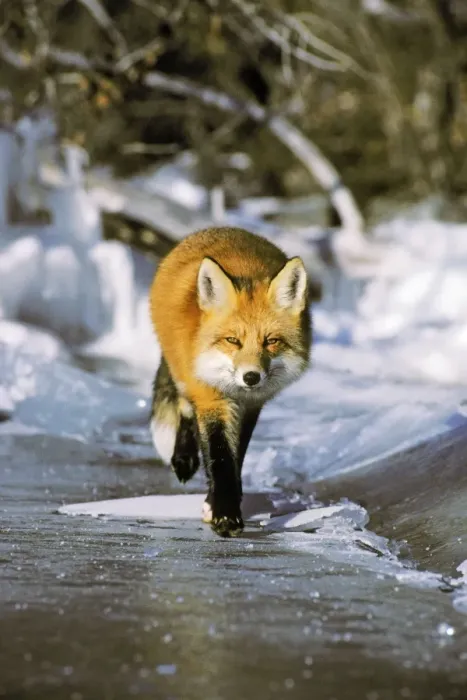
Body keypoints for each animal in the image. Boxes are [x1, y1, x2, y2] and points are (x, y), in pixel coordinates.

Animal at [149, 226, 312, 537]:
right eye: (233, 340)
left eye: (271, 341)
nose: (251, 377)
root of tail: (223, 229)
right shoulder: (211, 398)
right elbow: (220, 456)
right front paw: (225, 515)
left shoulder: (251, 405)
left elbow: (236, 457)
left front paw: (220, 504)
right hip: (182, 373)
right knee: (185, 410)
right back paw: (184, 459)